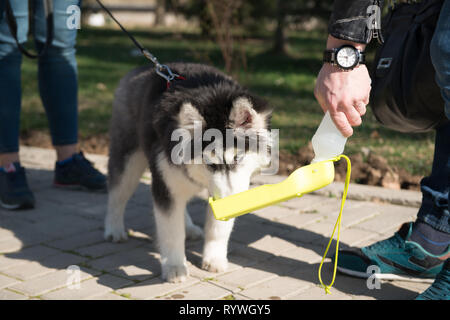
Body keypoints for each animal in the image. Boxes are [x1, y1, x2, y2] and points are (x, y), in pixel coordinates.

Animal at [106, 63, 274, 282]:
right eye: (209, 163)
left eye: (238, 158)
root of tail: (144, 67)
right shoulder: (165, 183)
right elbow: (172, 231)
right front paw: (175, 266)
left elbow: (217, 228)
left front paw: (214, 258)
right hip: (129, 157)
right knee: (117, 192)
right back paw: (114, 228)